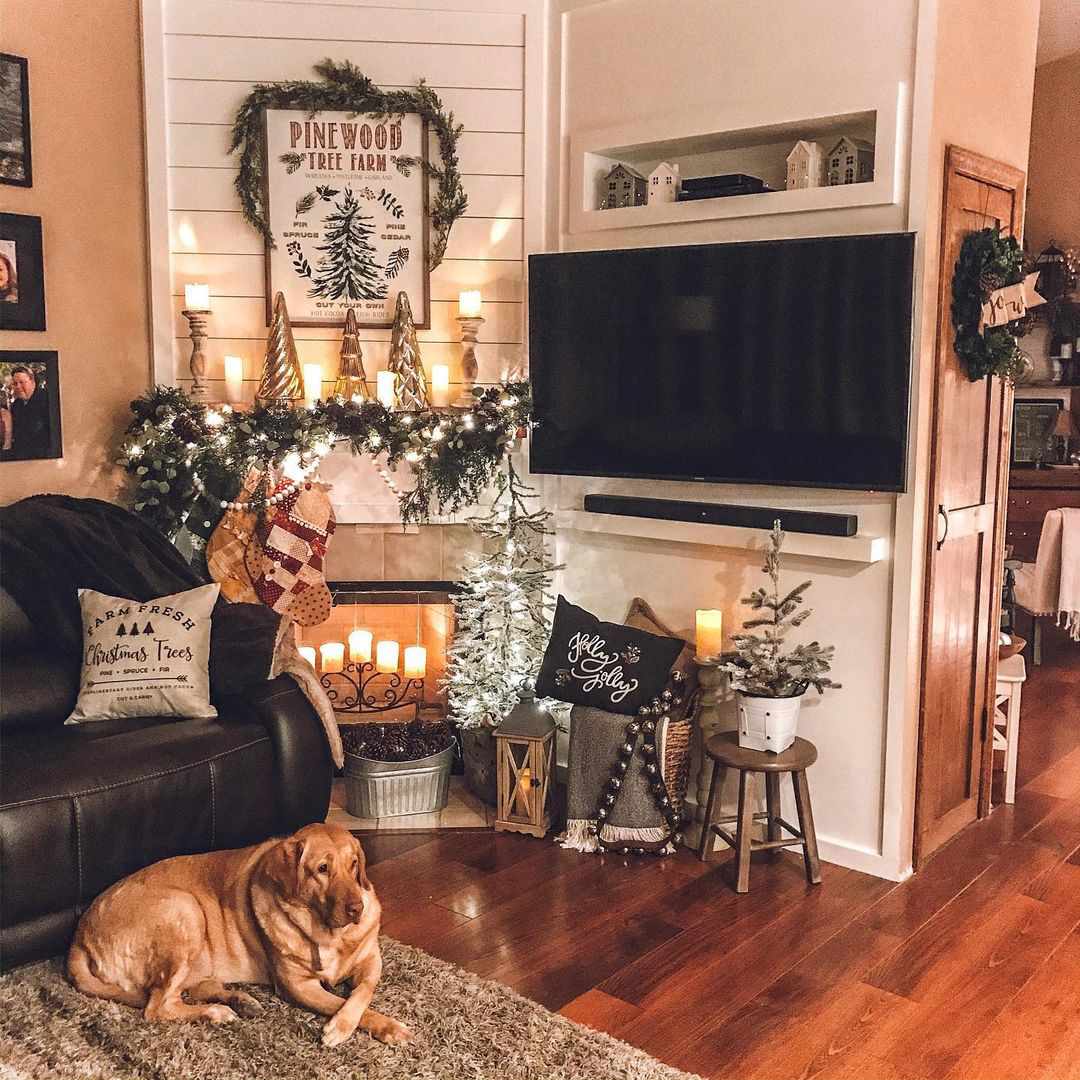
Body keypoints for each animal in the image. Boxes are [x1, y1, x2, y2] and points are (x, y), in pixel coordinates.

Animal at [67, 816, 410, 1045]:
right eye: (322, 869)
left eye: (354, 865)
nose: (357, 909)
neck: (327, 933)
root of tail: (80, 936)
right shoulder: (298, 986)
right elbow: (342, 1003)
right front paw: (354, 1027)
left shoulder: (372, 960)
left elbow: (363, 992)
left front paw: (371, 1024)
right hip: (185, 908)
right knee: (156, 1008)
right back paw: (216, 1012)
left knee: (186, 992)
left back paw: (239, 1001)